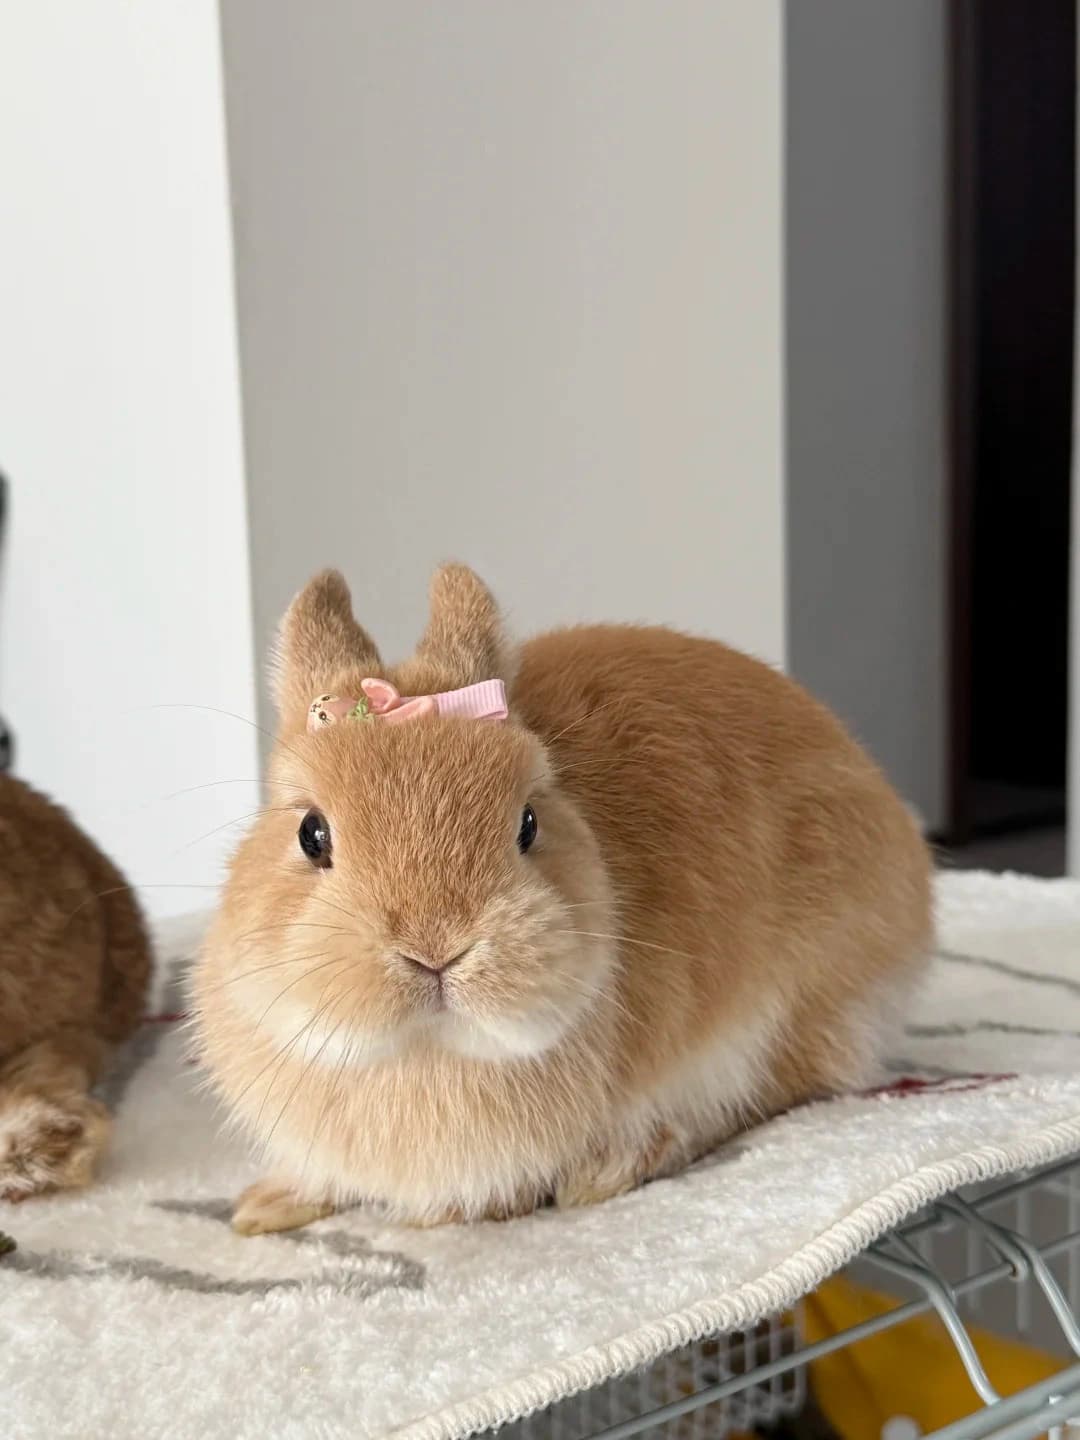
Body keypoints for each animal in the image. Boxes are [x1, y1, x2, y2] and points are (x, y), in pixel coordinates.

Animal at [192, 564, 931, 1236]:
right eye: (311, 833)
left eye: (527, 823)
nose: (435, 948)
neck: (425, 1052)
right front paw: (262, 1208)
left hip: (805, 1001)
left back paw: (609, 1169)